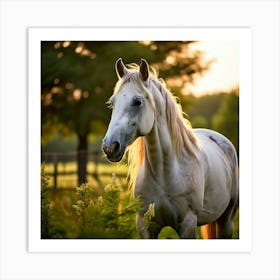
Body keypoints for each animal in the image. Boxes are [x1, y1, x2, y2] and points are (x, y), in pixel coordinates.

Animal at [103, 58, 238, 238]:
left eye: (137, 102)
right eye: (113, 102)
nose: (110, 147)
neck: (164, 173)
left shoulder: (188, 225)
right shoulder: (145, 226)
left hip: (226, 220)